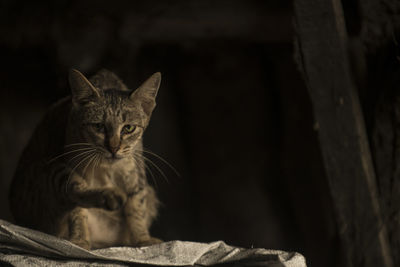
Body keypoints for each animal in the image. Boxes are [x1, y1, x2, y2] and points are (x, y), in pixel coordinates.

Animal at [8, 69, 161, 251]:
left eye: (128, 128)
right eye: (98, 126)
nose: (113, 148)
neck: (106, 168)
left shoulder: (136, 174)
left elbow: (137, 208)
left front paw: (143, 238)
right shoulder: (69, 166)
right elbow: (77, 211)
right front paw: (80, 240)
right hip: (47, 173)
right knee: (73, 192)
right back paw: (108, 197)